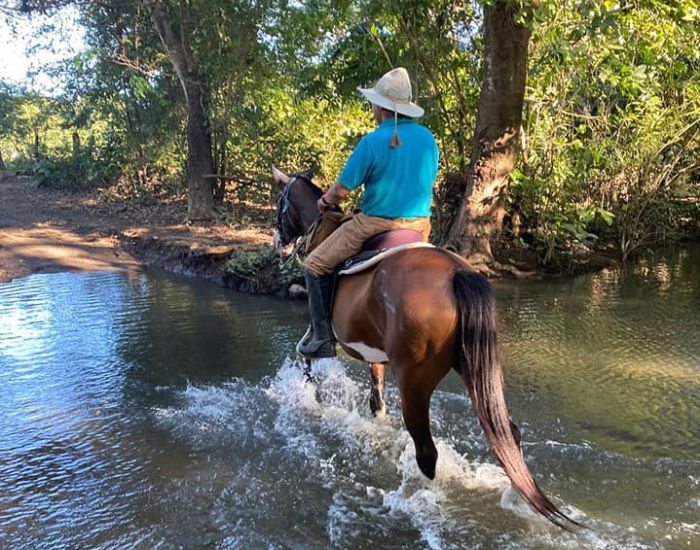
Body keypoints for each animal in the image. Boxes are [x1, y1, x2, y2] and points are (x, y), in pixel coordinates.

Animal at [270, 167, 576, 532]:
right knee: (508, 433)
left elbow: (308, 358)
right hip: (476, 367)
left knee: (426, 451)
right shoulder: (376, 354)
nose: (279, 244)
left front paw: (309, 395)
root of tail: (457, 273)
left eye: (280, 200)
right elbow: (376, 400)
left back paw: (419, 498)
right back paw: (517, 496)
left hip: (415, 382)